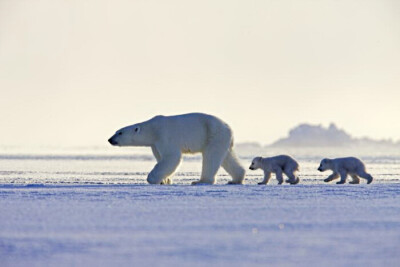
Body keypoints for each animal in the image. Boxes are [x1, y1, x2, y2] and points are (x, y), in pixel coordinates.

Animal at [108, 113, 245, 186]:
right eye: (116, 131)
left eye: (120, 133)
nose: (110, 139)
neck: (153, 129)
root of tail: (229, 128)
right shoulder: (155, 144)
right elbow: (160, 158)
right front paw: (165, 180)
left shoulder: (164, 136)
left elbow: (172, 157)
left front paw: (152, 179)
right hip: (221, 139)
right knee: (226, 158)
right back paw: (235, 180)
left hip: (213, 135)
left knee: (211, 157)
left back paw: (200, 181)